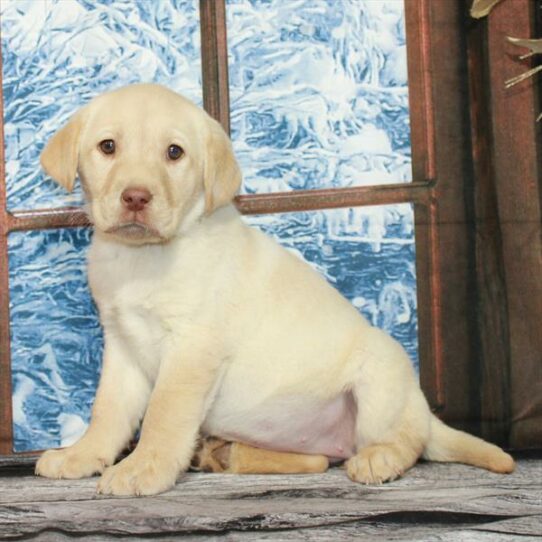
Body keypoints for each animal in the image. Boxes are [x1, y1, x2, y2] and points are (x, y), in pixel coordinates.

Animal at [35, 84, 516, 498]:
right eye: (107, 147)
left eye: (174, 152)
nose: (136, 197)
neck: (142, 258)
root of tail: (422, 407)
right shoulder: (123, 346)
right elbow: (108, 412)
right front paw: (81, 455)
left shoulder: (193, 348)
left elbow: (163, 414)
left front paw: (143, 467)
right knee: (318, 461)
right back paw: (226, 454)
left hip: (382, 376)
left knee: (406, 440)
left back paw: (379, 459)